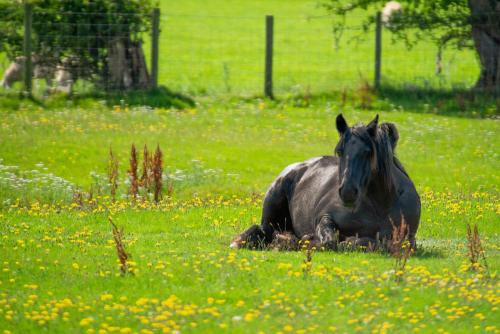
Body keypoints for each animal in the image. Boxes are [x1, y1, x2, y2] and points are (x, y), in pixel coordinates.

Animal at [232, 113, 420, 249]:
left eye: (368, 152)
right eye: (340, 151)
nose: (348, 192)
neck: (380, 206)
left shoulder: (408, 238)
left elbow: (384, 243)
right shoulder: (325, 217)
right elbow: (329, 241)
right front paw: (307, 240)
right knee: (265, 231)